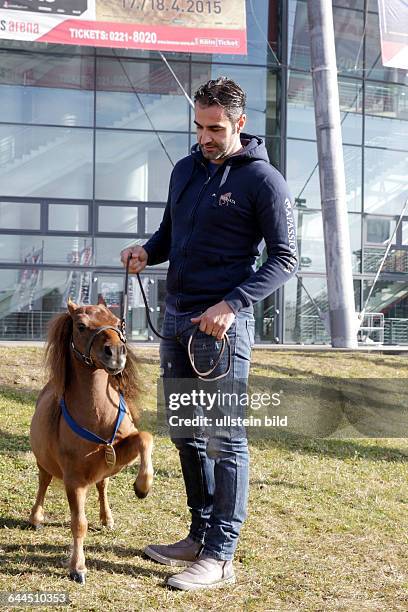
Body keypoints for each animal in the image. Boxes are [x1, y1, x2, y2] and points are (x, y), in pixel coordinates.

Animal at [28, 300, 153, 584]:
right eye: (81, 326)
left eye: (118, 322)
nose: (116, 353)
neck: (97, 417)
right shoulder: (74, 481)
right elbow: (79, 523)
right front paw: (78, 567)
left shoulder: (117, 453)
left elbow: (145, 438)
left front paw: (142, 486)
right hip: (45, 464)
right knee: (43, 483)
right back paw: (36, 517)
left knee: (103, 486)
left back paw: (107, 518)